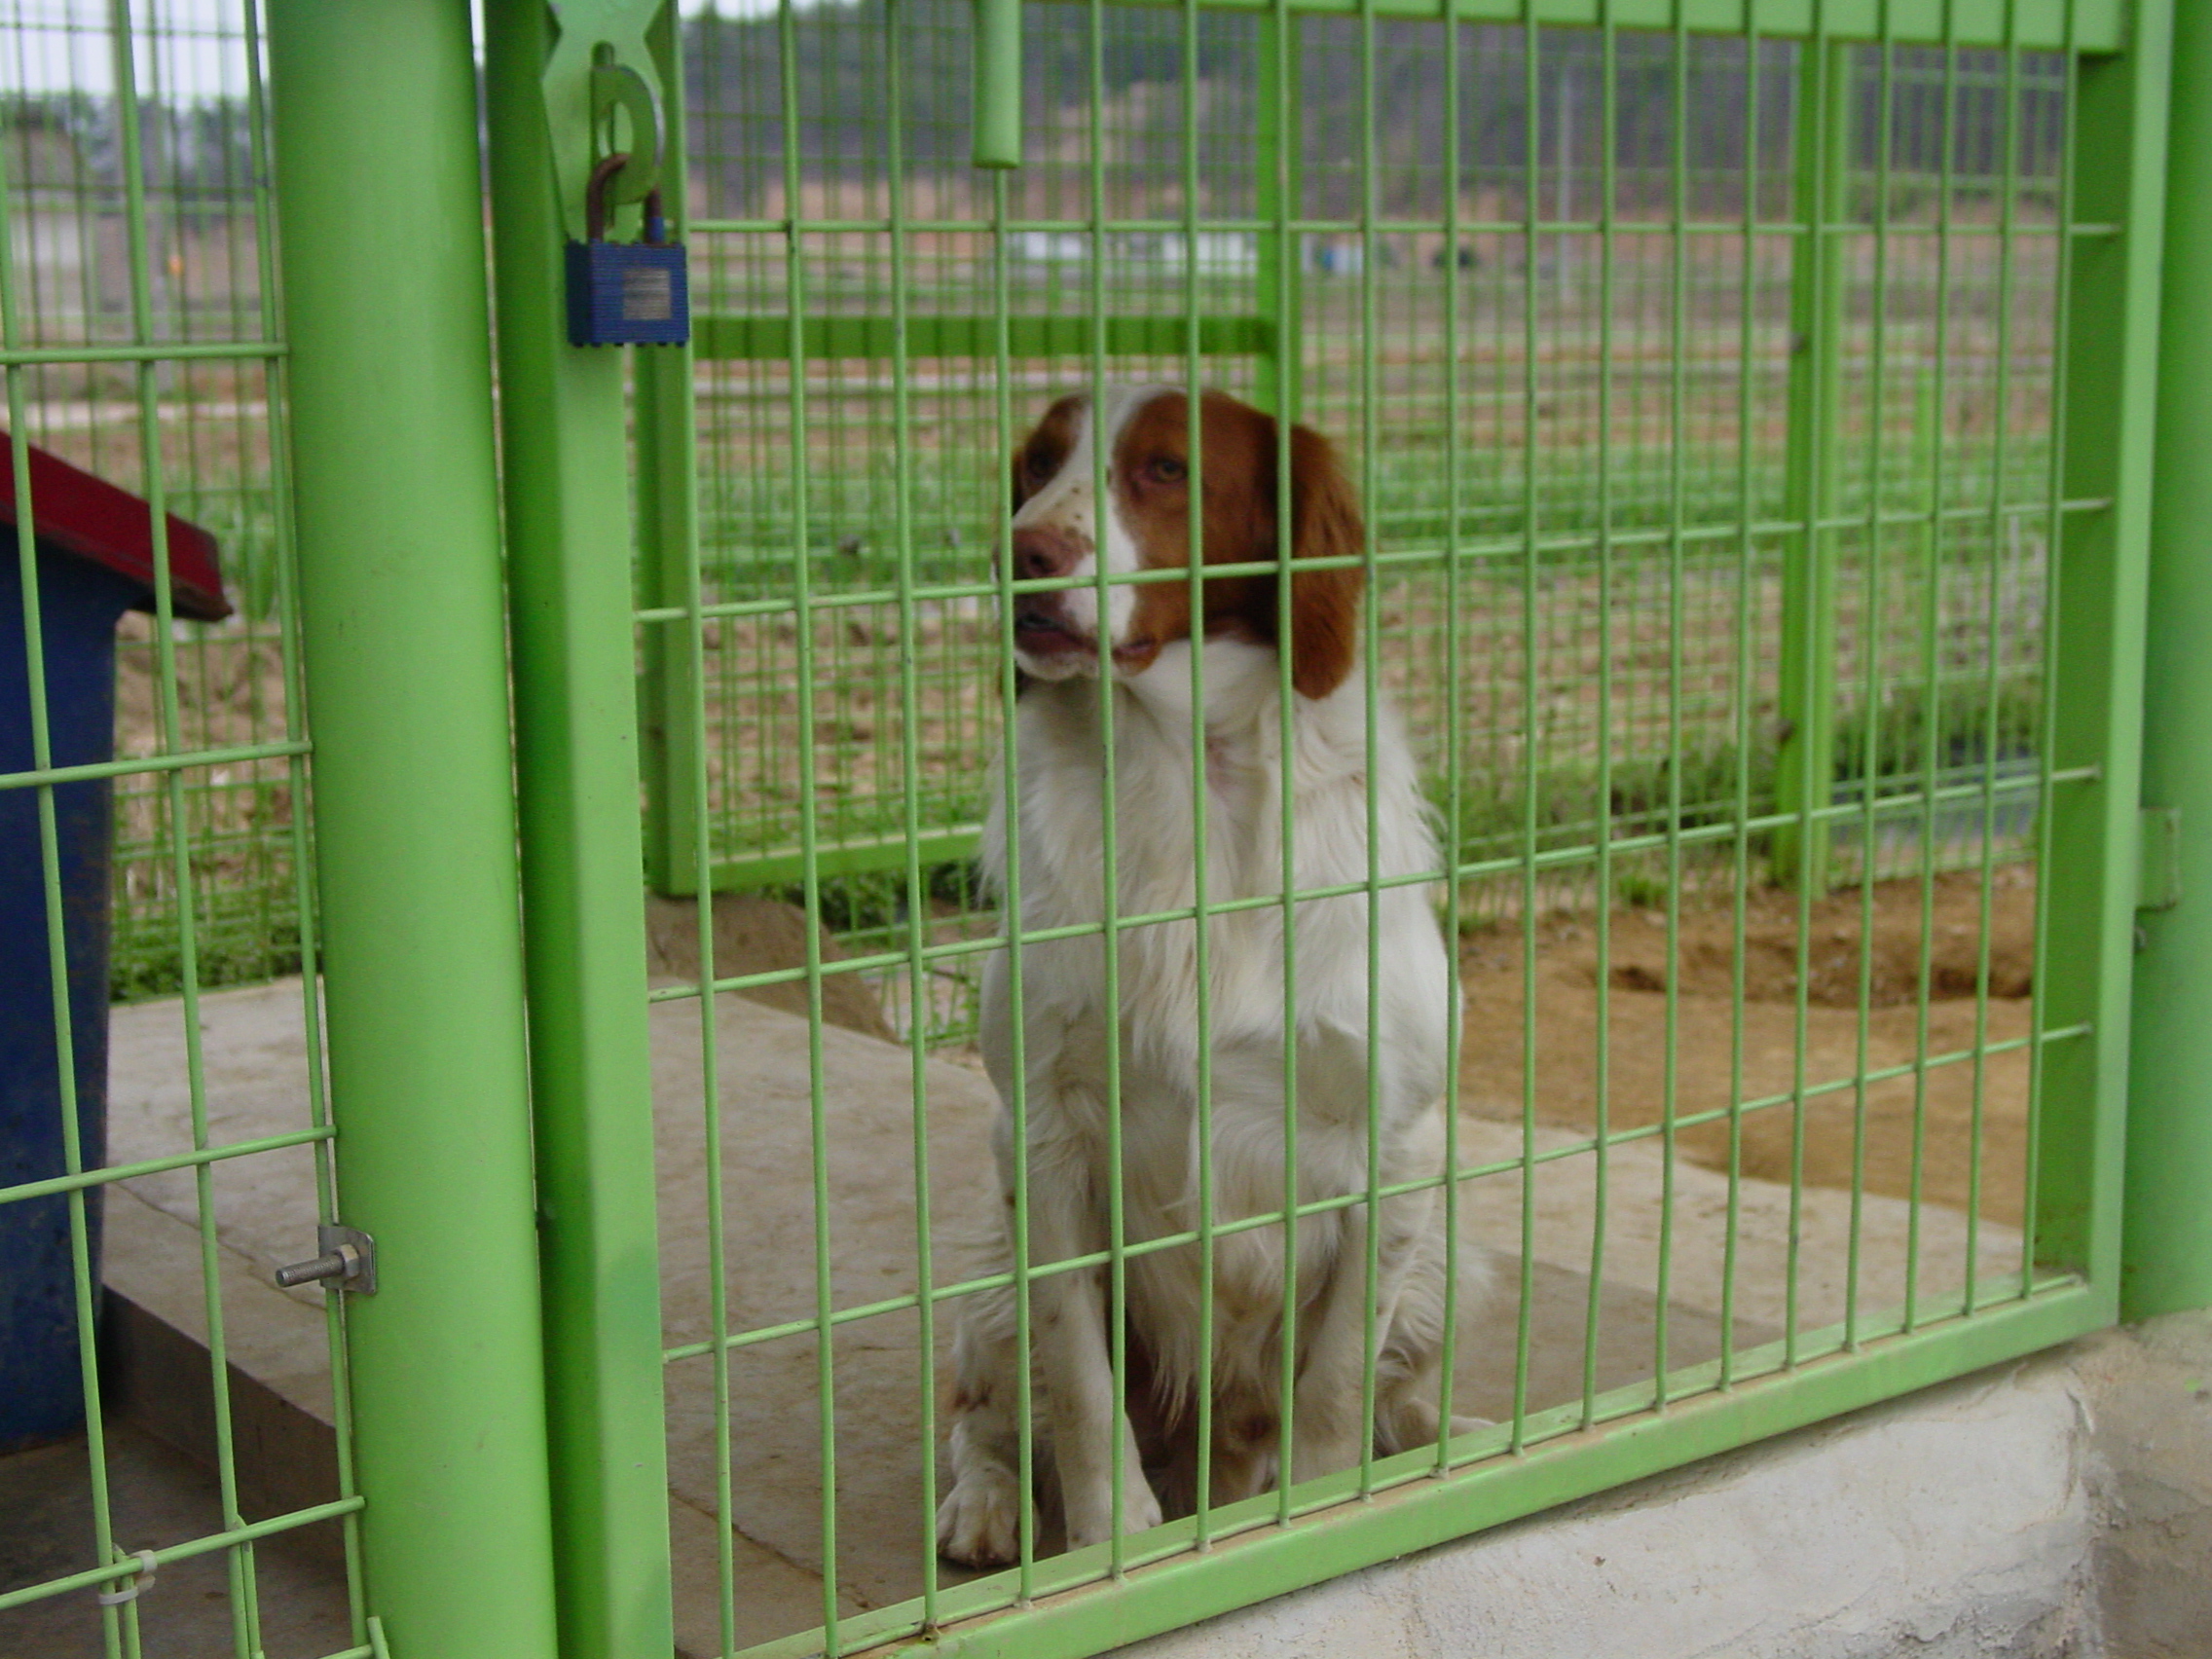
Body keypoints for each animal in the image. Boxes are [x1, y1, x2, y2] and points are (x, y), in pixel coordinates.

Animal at [936, 386, 1462, 1568]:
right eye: (1038, 465)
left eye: (1167, 468)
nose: (1021, 551)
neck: (1182, 786)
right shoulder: (1039, 1137)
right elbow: (1080, 1381)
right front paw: (1110, 1539)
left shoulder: (1396, 1144)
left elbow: (1332, 1385)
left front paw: (1325, 1505)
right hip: (986, 1263)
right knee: (985, 1414)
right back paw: (984, 1507)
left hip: (1441, 1271)